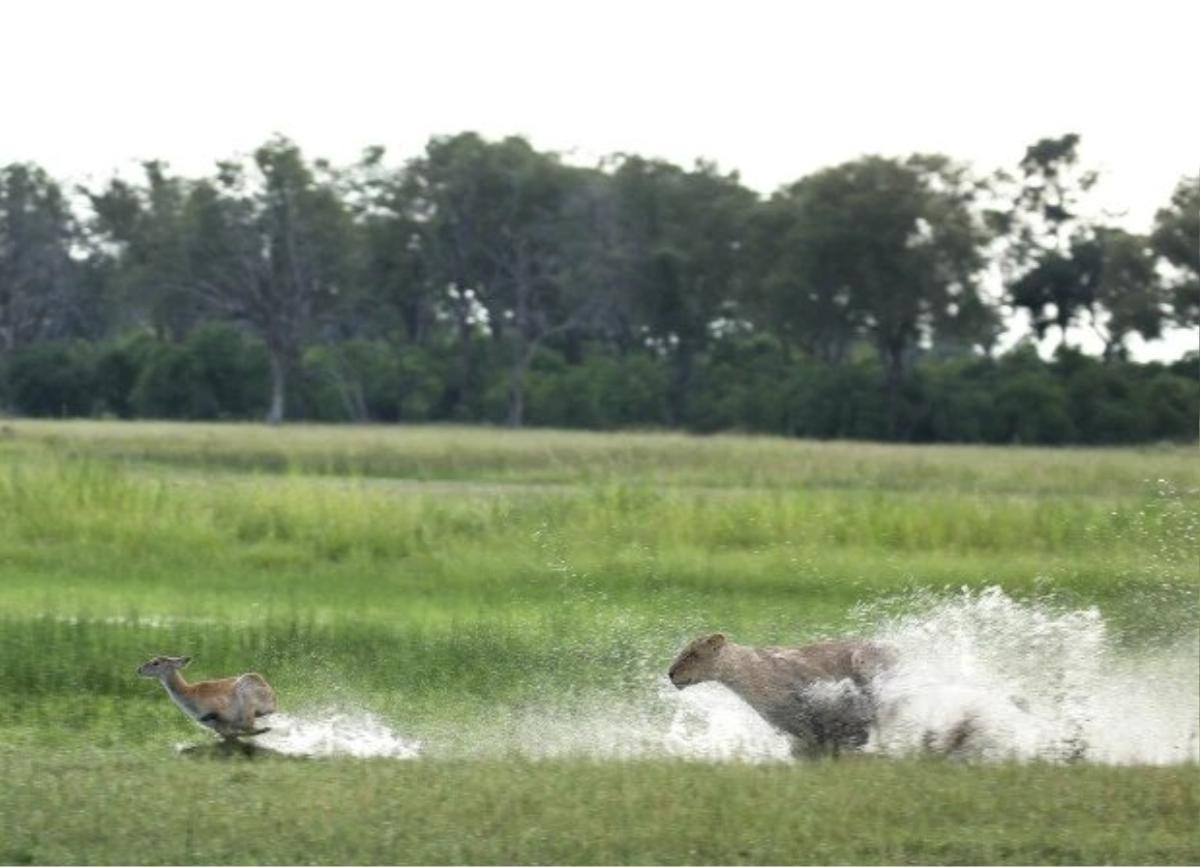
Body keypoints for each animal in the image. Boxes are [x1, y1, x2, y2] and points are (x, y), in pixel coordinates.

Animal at [137, 653, 277, 734]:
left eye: (156, 662)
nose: (139, 669)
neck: (188, 692)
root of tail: (273, 699)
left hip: (246, 694)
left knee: (249, 725)